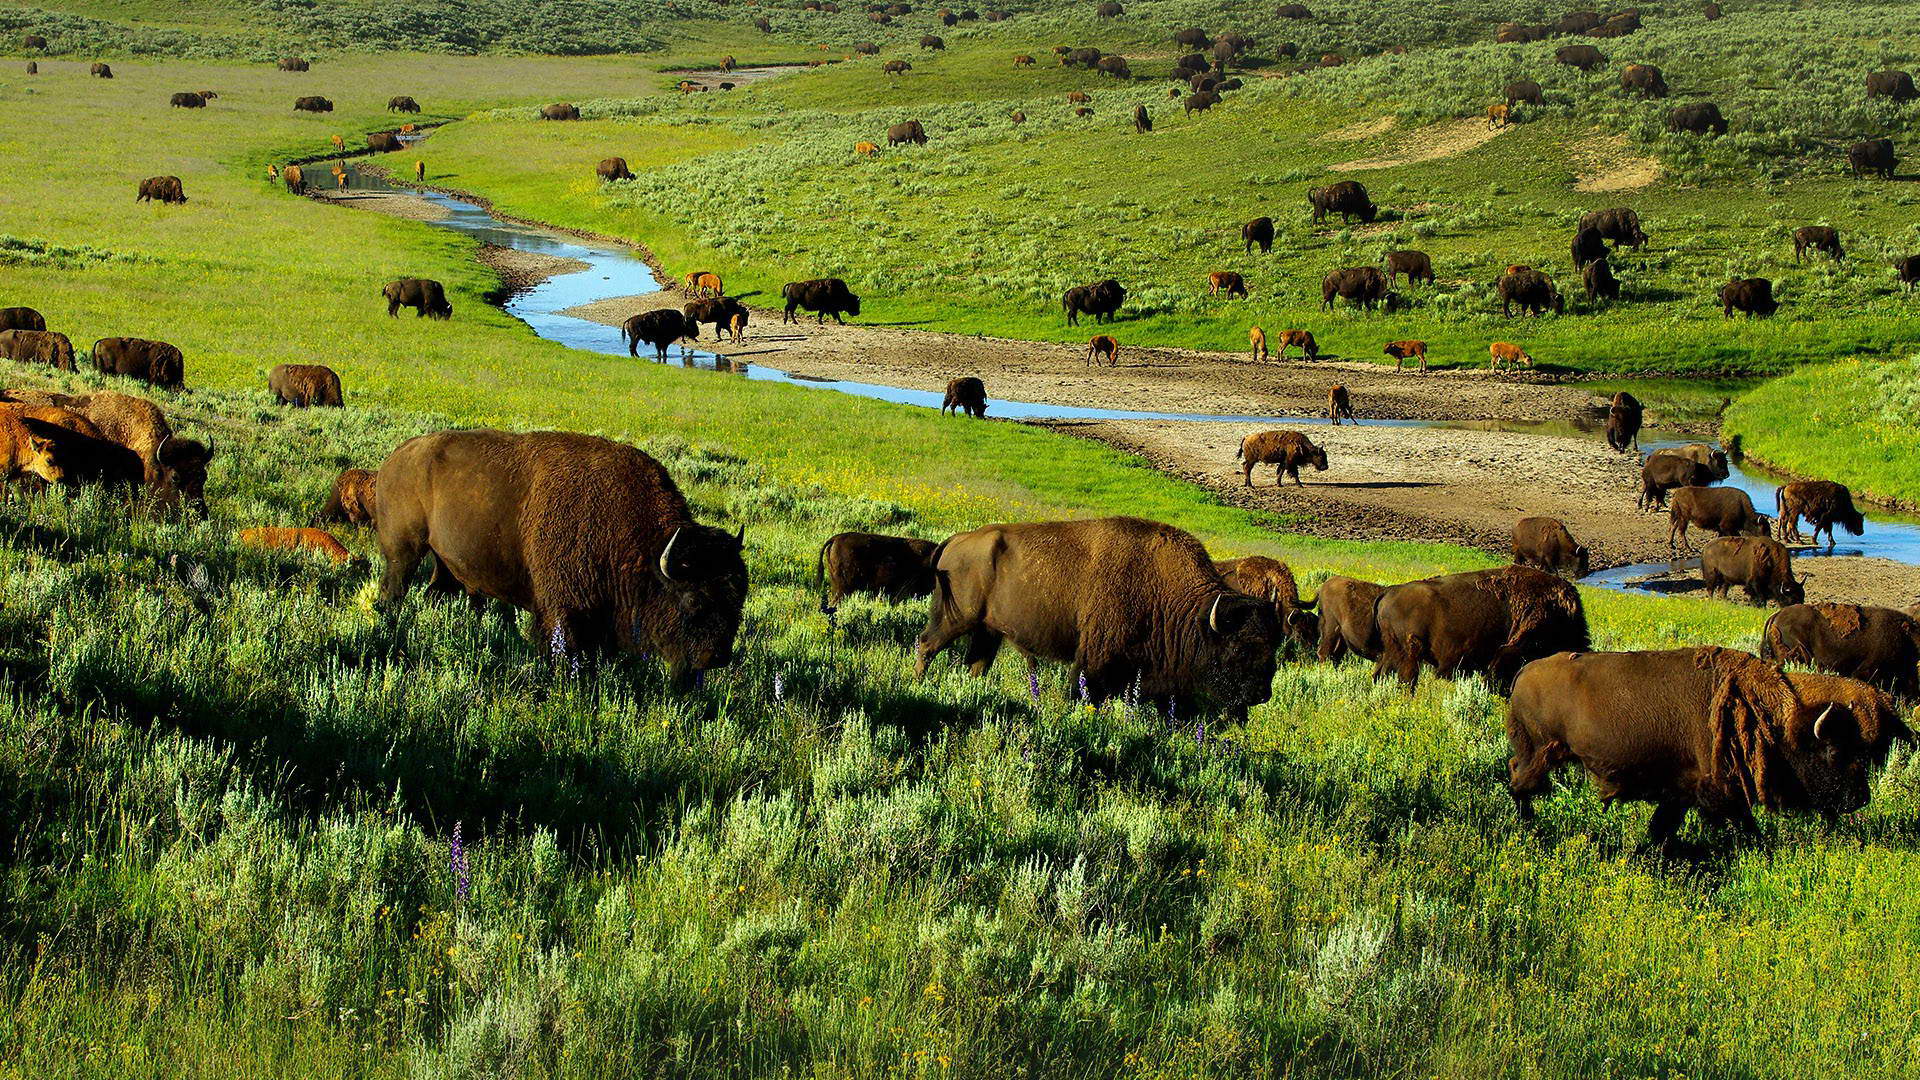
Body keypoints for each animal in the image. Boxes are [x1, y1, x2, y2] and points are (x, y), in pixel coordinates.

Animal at [376, 429, 747, 683]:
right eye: (694, 600)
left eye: (738, 599)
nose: (716, 657)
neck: (643, 547)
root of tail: (396, 457)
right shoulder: (564, 610)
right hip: (403, 552)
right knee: (393, 589)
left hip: (446, 564)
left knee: (435, 591)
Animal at [915, 516, 1280, 709]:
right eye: (1238, 648)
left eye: (1273, 647)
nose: (1261, 694)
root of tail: (955, 540)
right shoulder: (1095, 659)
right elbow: (1084, 691)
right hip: (954, 619)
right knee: (926, 644)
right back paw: (919, 684)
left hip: (987, 630)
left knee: (976, 663)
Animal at [1507, 646, 1906, 842]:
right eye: (1835, 751)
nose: (1861, 798)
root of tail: (1524, 671)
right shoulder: (1717, 792)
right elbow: (1743, 824)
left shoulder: (1681, 793)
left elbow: (1663, 826)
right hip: (1539, 752)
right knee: (1520, 784)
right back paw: (1529, 825)